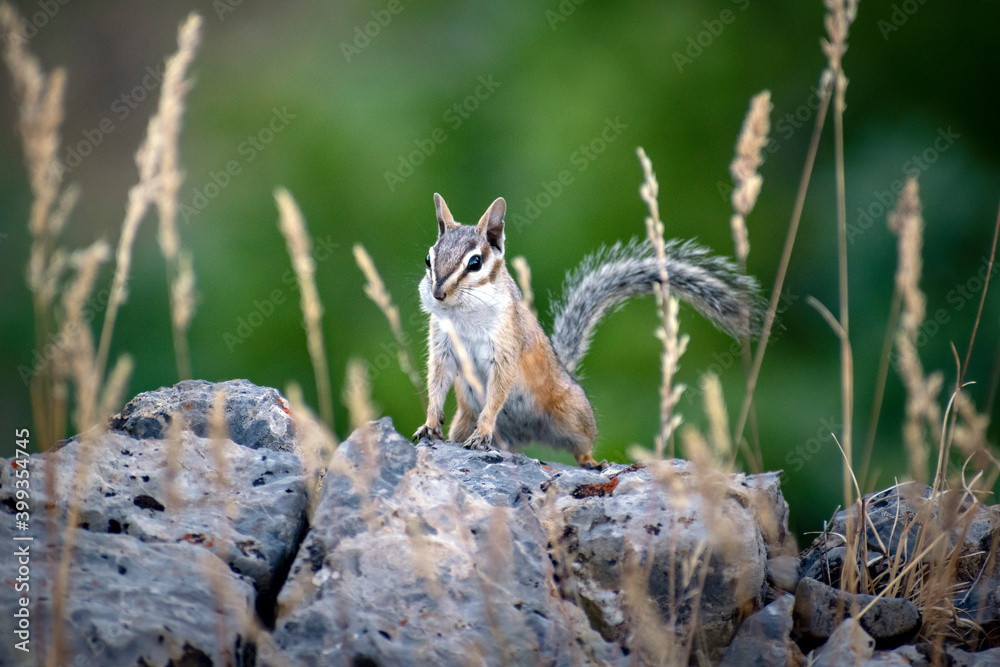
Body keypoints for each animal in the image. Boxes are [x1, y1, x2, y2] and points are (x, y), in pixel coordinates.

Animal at [412, 193, 762, 468]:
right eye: (428, 258)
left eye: (475, 263)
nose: (438, 293)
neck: (463, 315)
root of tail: (521, 437)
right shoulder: (443, 345)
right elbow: (437, 379)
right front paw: (429, 424)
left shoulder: (505, 346)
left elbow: (498, 391)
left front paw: (483, 432)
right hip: (463, 419)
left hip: (572, 415)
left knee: (582, 446)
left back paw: (592, 462)